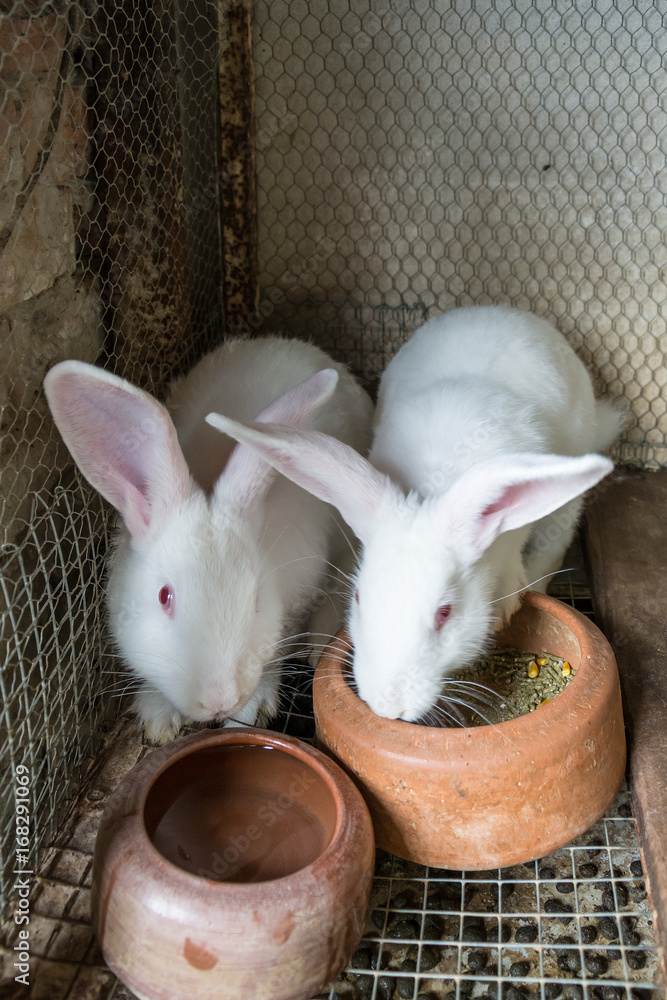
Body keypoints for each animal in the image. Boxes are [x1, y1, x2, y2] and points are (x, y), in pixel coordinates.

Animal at [43, 336, 374, 743]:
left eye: (257, 599)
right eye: (164, 596)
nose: (220, 701)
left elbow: (276, 648)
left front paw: (250, 709)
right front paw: (158, 718)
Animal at [205, 306, 622, 722]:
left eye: (445, 613)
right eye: (359, 597)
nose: (388, 706)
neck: (432, 490)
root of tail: (502, 310)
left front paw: (504, 604)